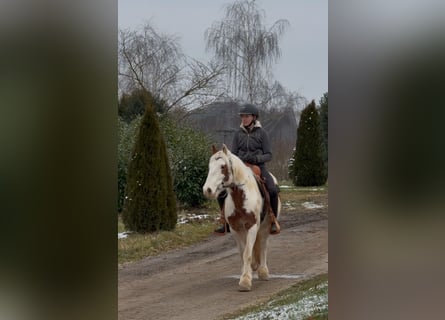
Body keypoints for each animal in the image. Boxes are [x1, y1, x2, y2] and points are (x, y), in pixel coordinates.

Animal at [202, 144, 280, 292]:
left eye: (223, 166)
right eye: (209, 166)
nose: (207, 190)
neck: (240, 196)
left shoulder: (252, 226)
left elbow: (247, 253)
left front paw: (245, 281)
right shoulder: (235, 229)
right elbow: (243, 253)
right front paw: (246, 274)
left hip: (265, 226)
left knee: (263, 245)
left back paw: (263, 272)